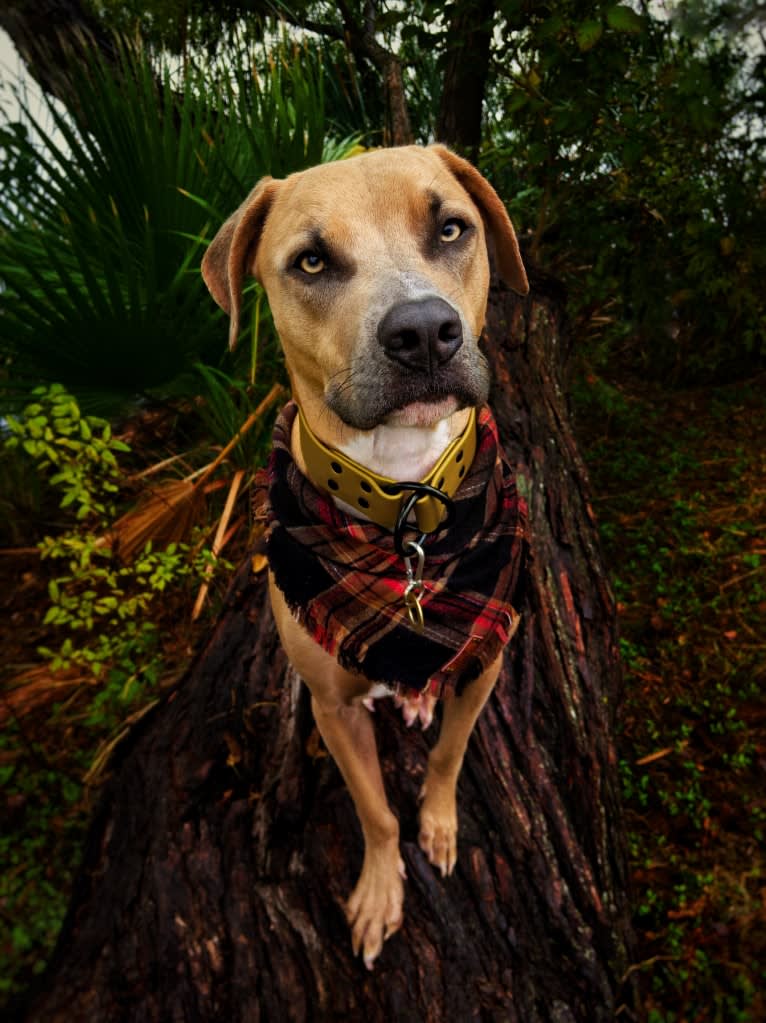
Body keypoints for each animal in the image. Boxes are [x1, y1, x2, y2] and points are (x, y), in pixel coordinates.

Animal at [200, 144, 527, 965]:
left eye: (451, 228)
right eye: (312, 261)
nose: (425, 331)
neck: (405, 505)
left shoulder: (485, 664)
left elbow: (448, 755)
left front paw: (438, 824)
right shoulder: (334, 710)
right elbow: (375, 812)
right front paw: (381, 889)